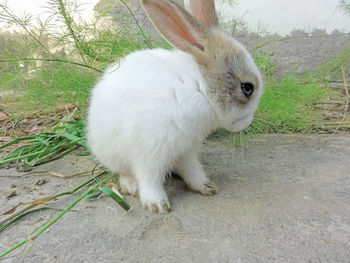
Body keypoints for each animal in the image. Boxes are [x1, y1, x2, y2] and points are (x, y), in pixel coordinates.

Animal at [87, 0, 262, 214]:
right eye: (247, 88)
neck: (200, 90)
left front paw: (206, 187)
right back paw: (130, 186)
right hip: (112, 153)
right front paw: (157, 205)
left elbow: (192, 170)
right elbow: (150, 179)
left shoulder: (187, 148)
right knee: (124, 172)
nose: (248, 121)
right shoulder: (150, 152)